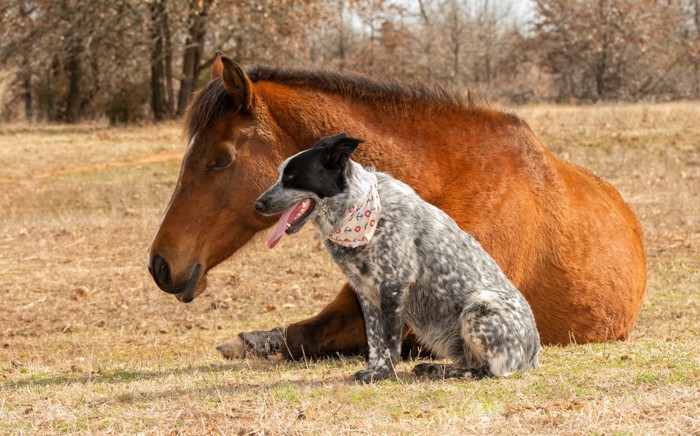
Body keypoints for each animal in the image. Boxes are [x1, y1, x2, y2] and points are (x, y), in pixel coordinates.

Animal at [254, 133, 540, 382]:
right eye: (280, 174)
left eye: (292, 177)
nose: (257, 204)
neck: (357, 212)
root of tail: (533, 355)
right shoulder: (366, 292)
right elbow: (375, 340)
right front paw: (374, 370)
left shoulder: (393, 284)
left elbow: (390, 341)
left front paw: (383, 375)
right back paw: (434, 368)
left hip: (479, 308)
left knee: (489, 370)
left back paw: (447, 371)